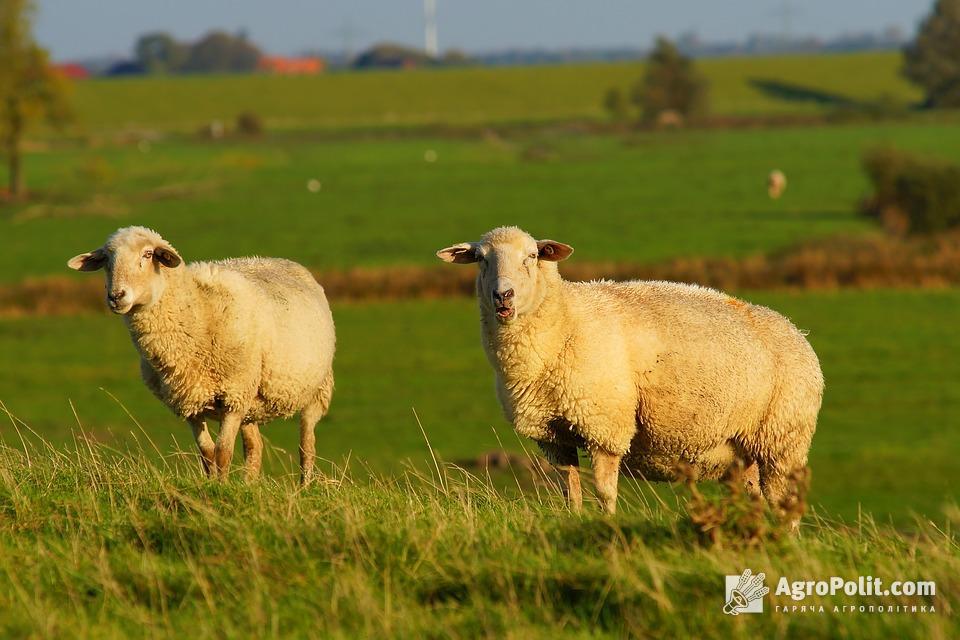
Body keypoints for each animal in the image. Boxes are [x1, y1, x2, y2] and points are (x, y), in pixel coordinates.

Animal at [69, 228, 336, 482]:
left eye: (148, 254)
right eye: (106, 259)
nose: (116, 296)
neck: (198, 310)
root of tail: (283, 261)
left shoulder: (233, 397)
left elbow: (223, 451)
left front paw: (222, 488)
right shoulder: (190, 400)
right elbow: (207, 453)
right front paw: (212, 484)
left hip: (315, 390)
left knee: (306, 446)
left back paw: (303, 487)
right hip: (250, 401)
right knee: (254, 447)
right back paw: (249, 485)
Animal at [438, 228, 820, 516]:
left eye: (531, 256)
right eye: (481, 258)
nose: (503, 295)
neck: (564, 322)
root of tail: (797, 333)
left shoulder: (605, 425)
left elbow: (605, 492)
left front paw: (607, 526)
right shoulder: (553, 436)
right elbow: (570, 491)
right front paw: (575, 521)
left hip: (784, 439)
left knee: (785, 503)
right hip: (744, 451)